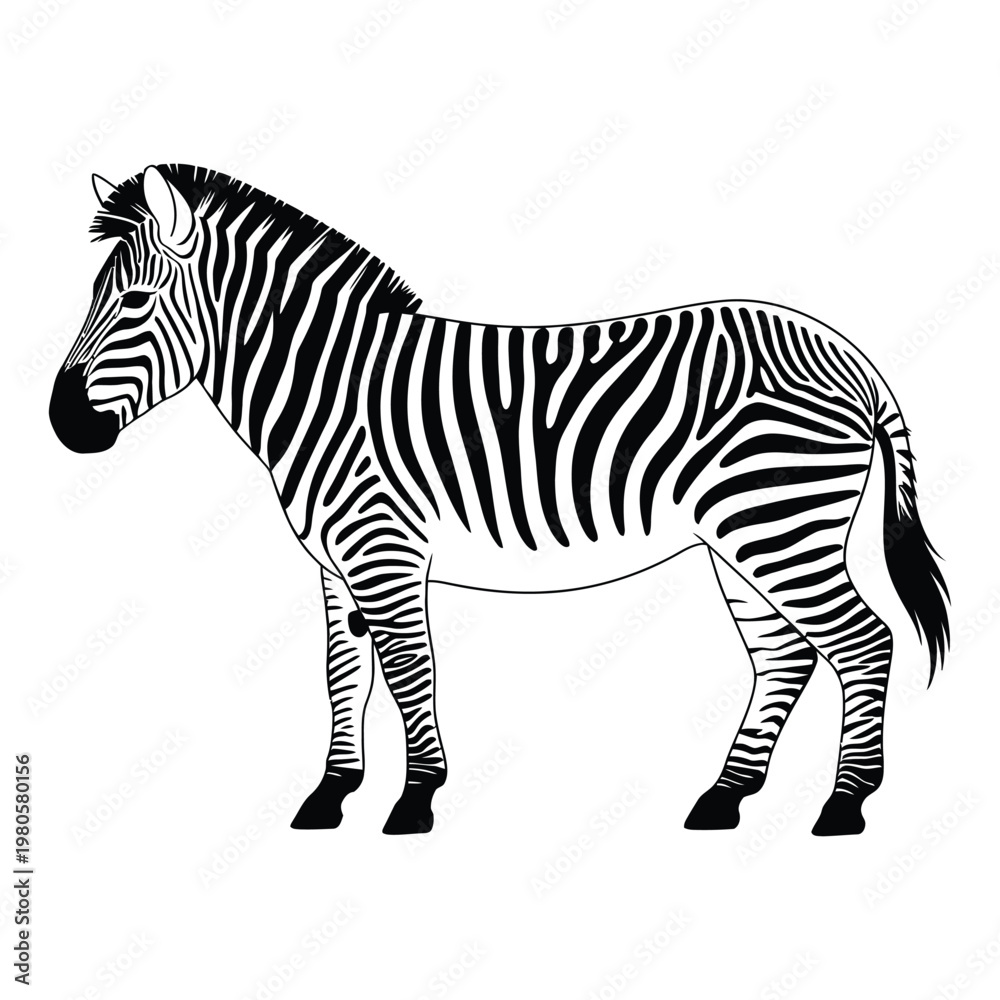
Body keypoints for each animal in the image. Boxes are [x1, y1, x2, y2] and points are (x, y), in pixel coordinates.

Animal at [50, 164, 950, 838]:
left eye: (133, 302)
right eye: (93, 296)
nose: (62, 424)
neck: (328, 386)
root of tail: (847, 356)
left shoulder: (382, 547)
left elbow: (408, 671)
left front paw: (416, 799)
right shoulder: (335, 567)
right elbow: (345, 674)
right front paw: (332, 794)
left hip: (776, 521)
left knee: (862, 641)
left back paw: (844, 805)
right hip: (744, 537)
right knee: (785, 655)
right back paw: (725, 797)